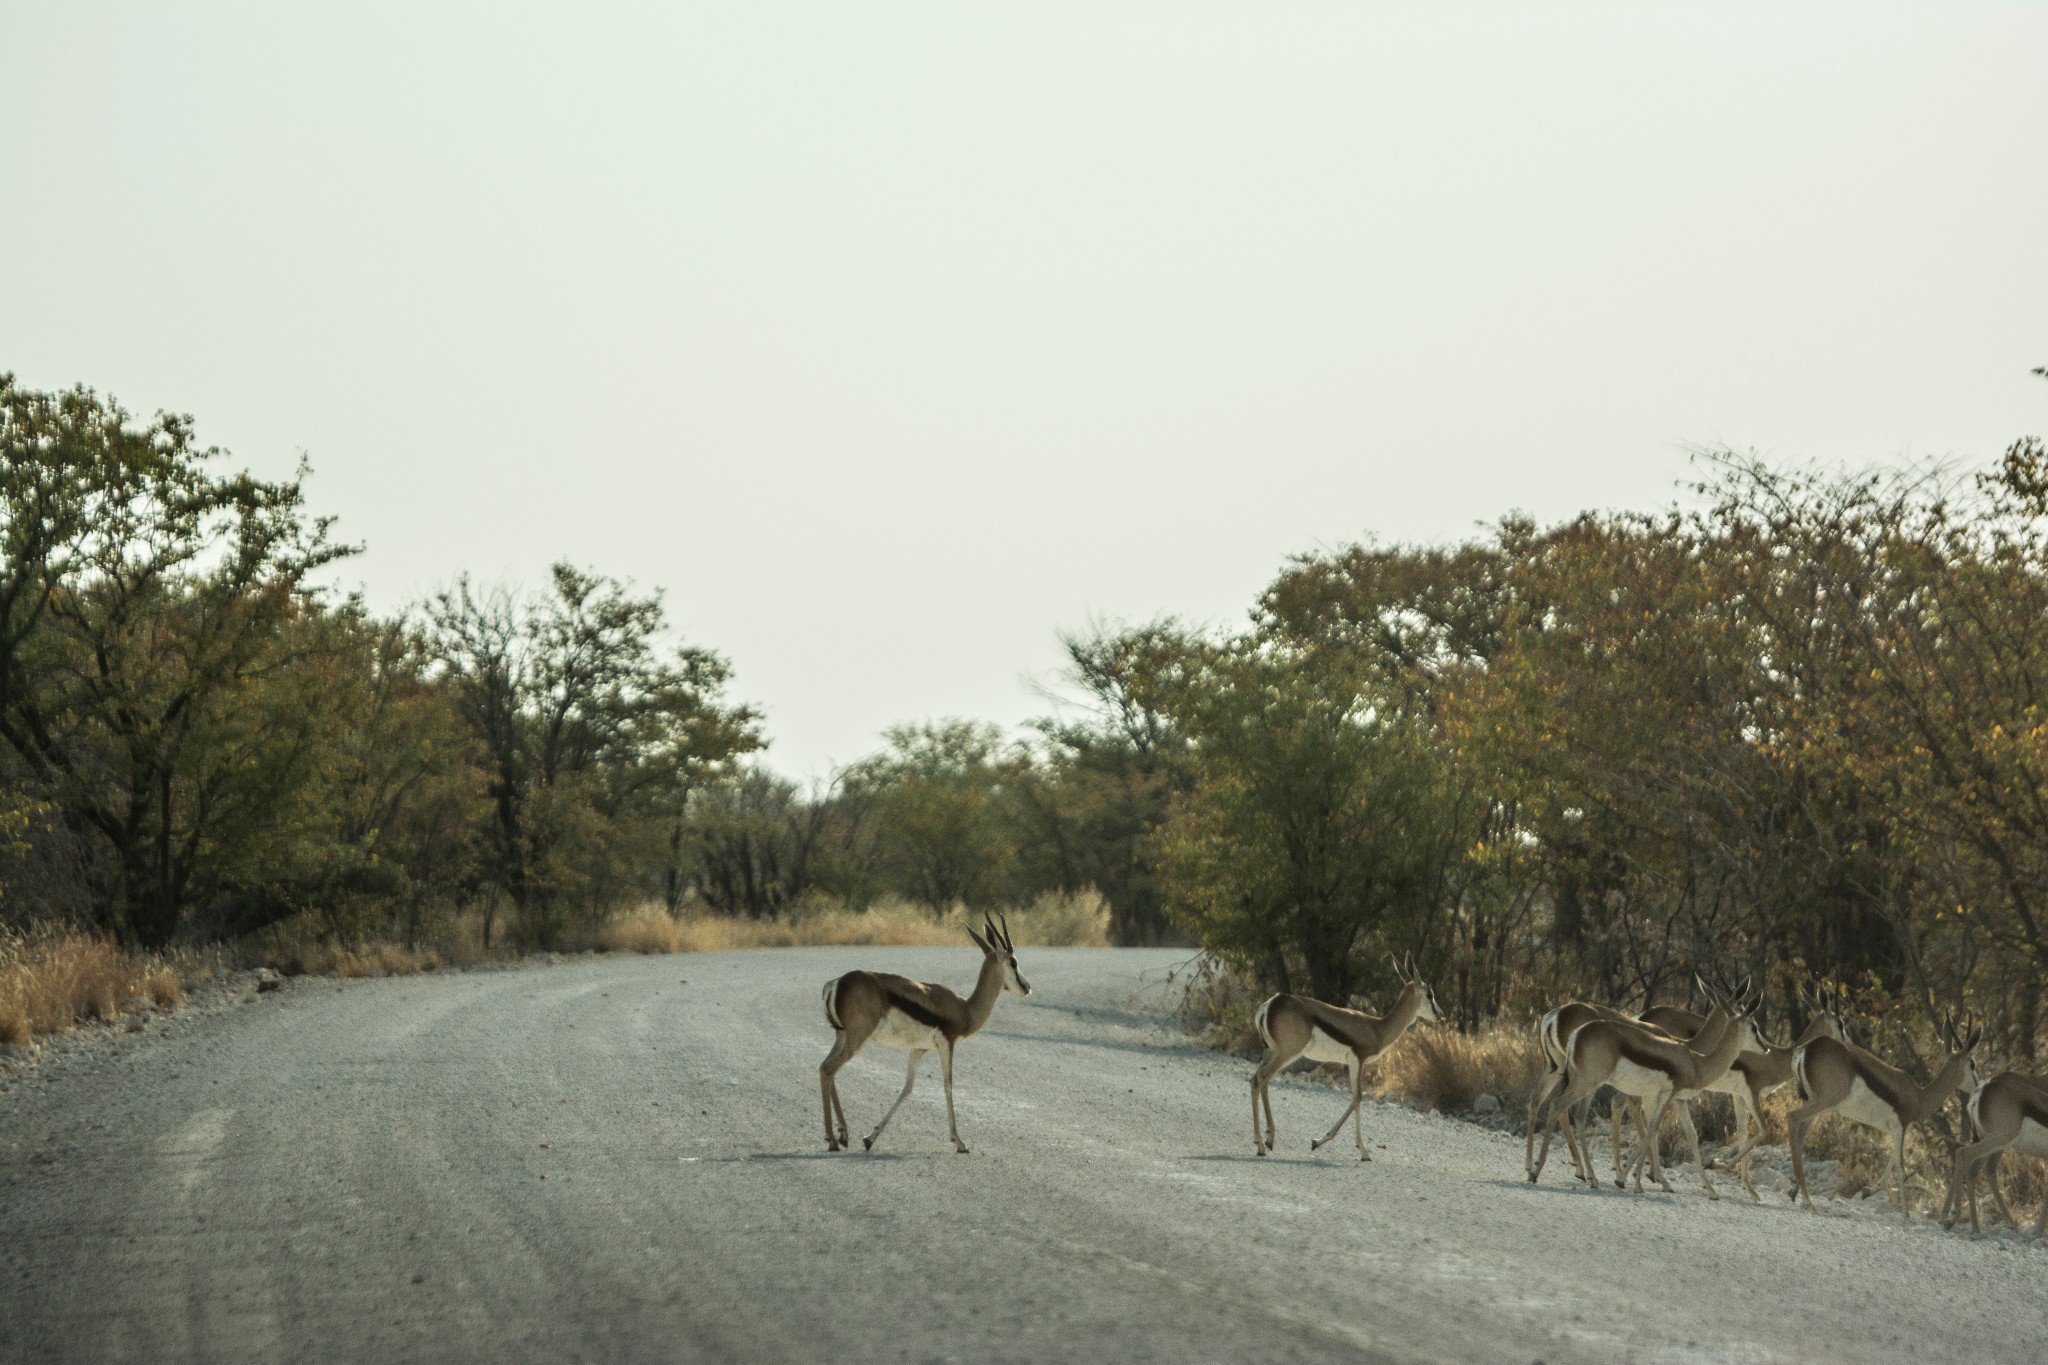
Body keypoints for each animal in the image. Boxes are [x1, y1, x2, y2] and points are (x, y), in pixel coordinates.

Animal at [819, 916, 1032, 1154]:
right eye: (1013, 962)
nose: (1027, 987)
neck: (965, 1009)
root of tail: (836, 983)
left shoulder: (918, 1049)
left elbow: (907, 1088)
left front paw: (870, 1138)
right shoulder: (947, 1044)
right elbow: (948, 1086)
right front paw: (959, 1142)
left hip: (842, 1037)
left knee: (826, 1068)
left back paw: (843, 1135)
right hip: (857, 1038)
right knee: (828, 1069)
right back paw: (832, 1139)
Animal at [1245, 957, 1441, 1162]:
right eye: (1430, 994)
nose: (1440, 1015)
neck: (1377, 1029)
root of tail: (1271, 1004)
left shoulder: (1352, 1063)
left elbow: (1355, 1097)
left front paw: (1320, 1142)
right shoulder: (1357, 1060)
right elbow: (1358, 1097)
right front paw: (1361, 1151)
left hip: (1271, 1052)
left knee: (1256, 1079)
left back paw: (1262, 1141)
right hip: (1287, 1053)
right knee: (1263, 1077)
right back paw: (1265, 1143)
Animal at [1540, 986, 1753, 1203]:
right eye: (1752, 1023)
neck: (1693, 1056)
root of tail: (1558, 1019)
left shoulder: (1661, 1096)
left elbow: (1676, 1130)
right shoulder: (1658, 1095)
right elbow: (1649, 1126)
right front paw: (1641, 1178)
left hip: (1561, 1073)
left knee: (1542, 1100)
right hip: (1584, 1081)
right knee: (1563, 1108)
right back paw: (1567, 1173)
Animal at [1785, 1010, 1974, 1219]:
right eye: (1972, 1064)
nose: (1977, 1084)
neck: (1919, 1096)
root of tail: (1805, 1049)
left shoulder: (1895, 1129)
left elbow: (1892, 1160)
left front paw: (1867, 1192)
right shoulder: (1900, 1126)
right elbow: (1900, 1164)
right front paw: (1906, 1216)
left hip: (1816, 1104)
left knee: (1800, 1133)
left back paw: (1795, 1193)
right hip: (1823, 1103)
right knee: (1791, 1118)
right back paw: (1808, 1202)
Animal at [1941, 1064, 2039, 1236]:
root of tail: (1981, 1091)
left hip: (1992, 1144)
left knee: (1978, 1169)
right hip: (1997, 1141)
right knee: (1966, 1156)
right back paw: (1956, 1219)